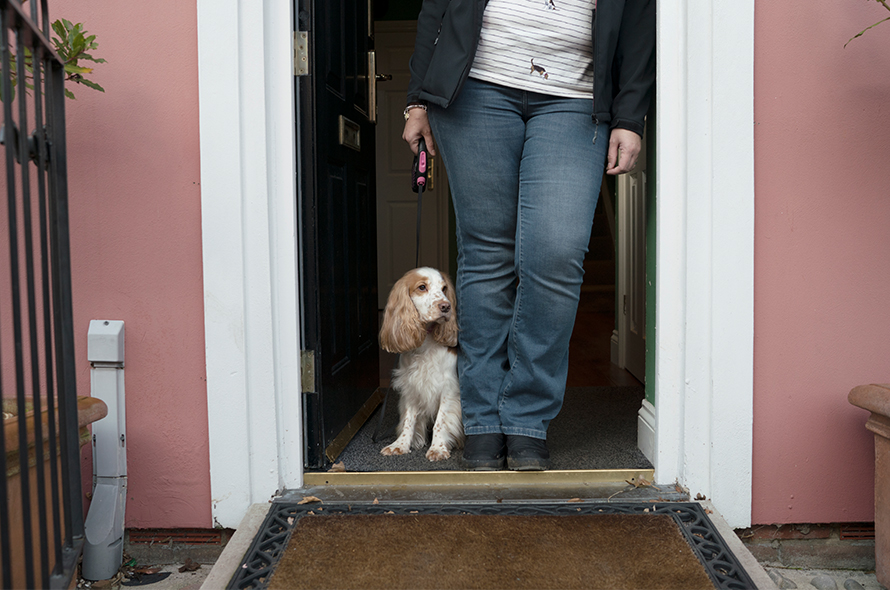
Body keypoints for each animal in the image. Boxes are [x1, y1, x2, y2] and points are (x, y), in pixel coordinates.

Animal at [376, 268, 462, 462]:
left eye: (444, 288)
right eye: (422, 287)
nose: (446, 307)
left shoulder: (449, 387)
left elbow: (440, 421)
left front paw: (437, 448)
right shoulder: (412, 385)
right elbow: (409, 419)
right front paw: (401, 444)